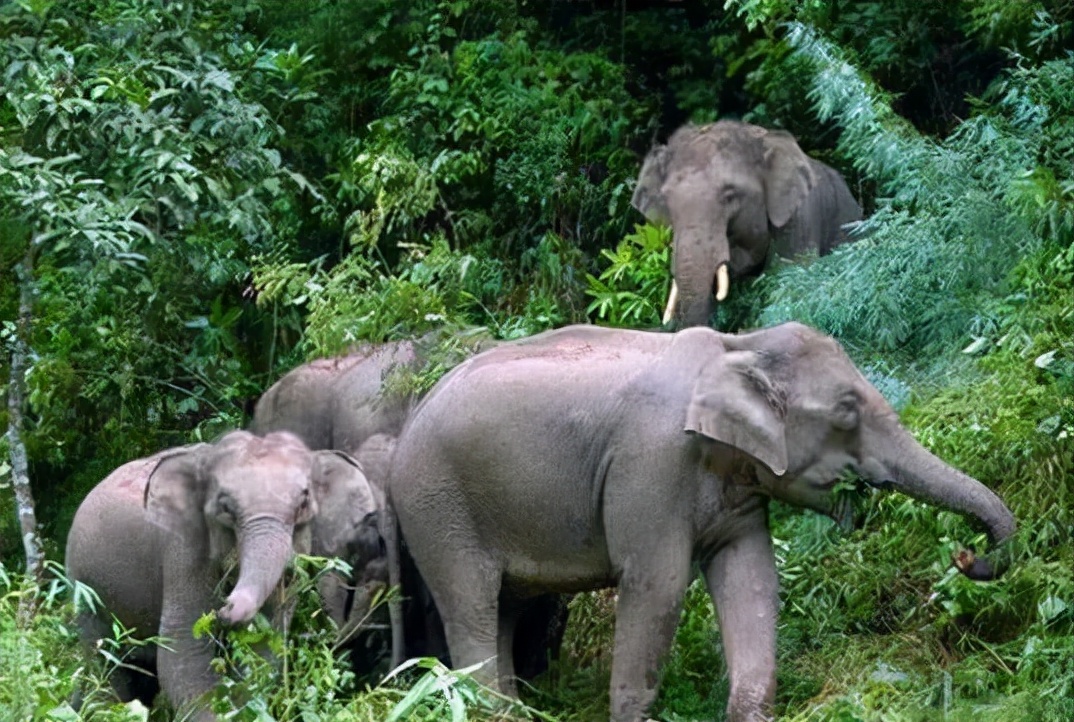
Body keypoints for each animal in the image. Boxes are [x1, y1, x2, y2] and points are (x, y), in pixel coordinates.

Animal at [62, 431, 382, 717]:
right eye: (225, 507)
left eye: (303, 502)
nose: (224, 608)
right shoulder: (184, 552)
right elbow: (183, 656)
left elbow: (264, 652)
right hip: (85, 588)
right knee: (104, 662)